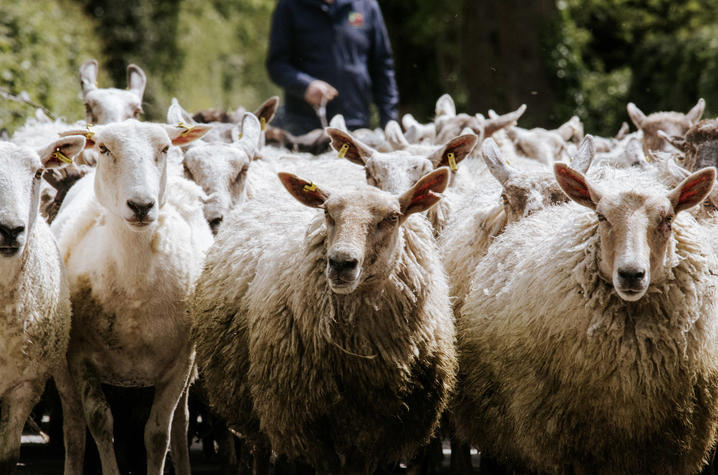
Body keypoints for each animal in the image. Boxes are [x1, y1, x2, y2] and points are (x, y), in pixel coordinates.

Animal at [51, 119, 213, 475]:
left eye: (165, 148)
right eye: (103, 148)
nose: (141, 206)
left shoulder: (180, 362)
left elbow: (157, 434)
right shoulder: (80, 358)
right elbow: (100, 424)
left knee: (181, 424)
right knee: (73, 427)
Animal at [191, 167, 457, 474]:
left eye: (392, 217)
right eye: (328, 213)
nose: (341, 263)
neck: (359, 357)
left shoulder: (383, 428)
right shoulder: (308, 423)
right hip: (256, 404)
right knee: (261, 449)